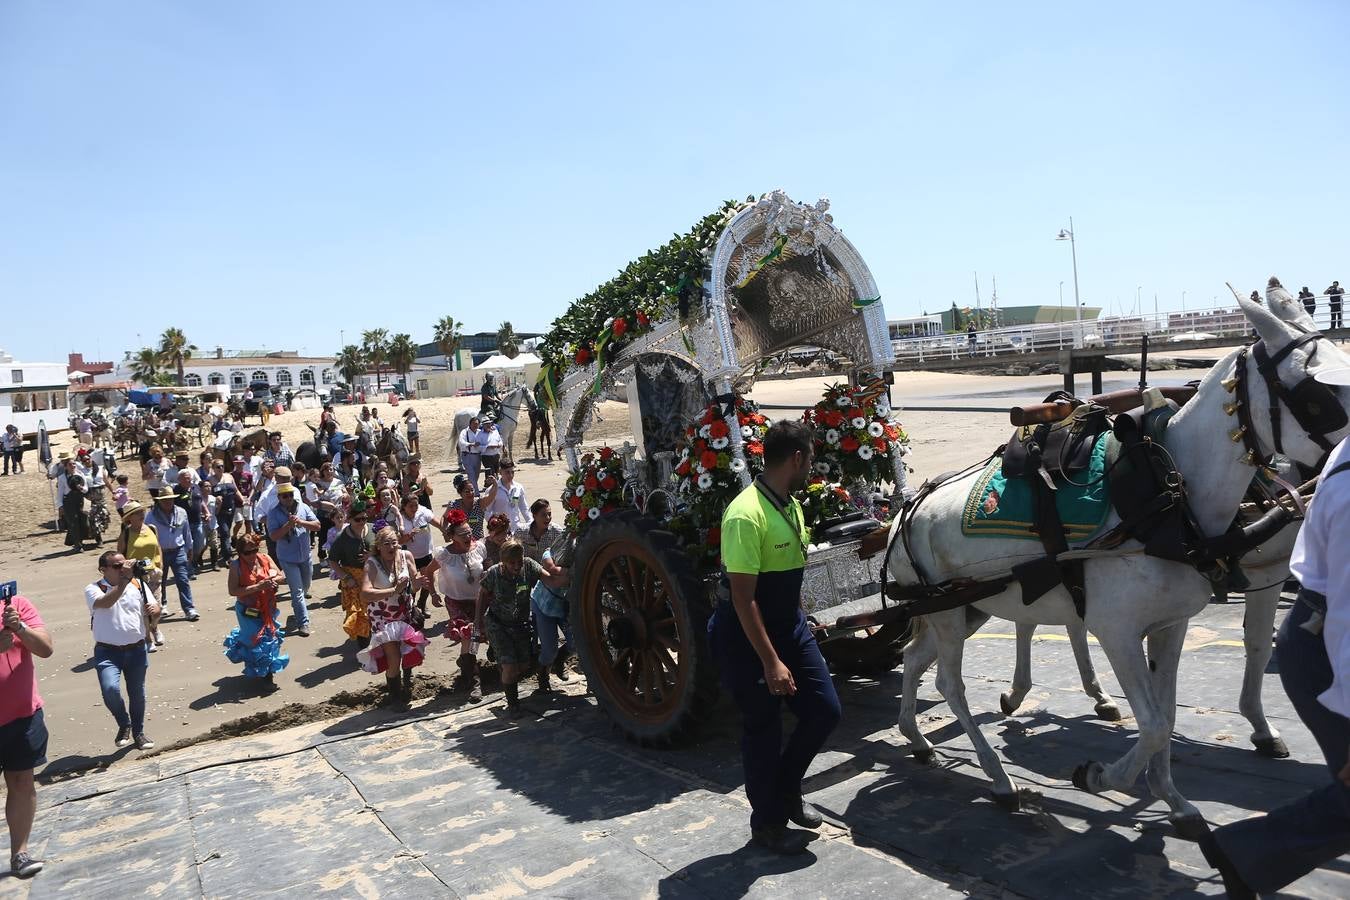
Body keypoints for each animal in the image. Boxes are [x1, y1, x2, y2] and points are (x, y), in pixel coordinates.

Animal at [885, 284, 1350, 836]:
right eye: (1319, 393)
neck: (1167, 494)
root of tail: (905, 512)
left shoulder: (1171, 625)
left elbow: (1167, 717)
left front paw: (1174, 801)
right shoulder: (1118, 631)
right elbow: (1152, 724)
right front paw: (1101, 776)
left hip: (966, 608)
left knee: (918, 658)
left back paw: (917, 738)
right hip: (950, 613)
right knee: (948, 683)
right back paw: (998, 779)